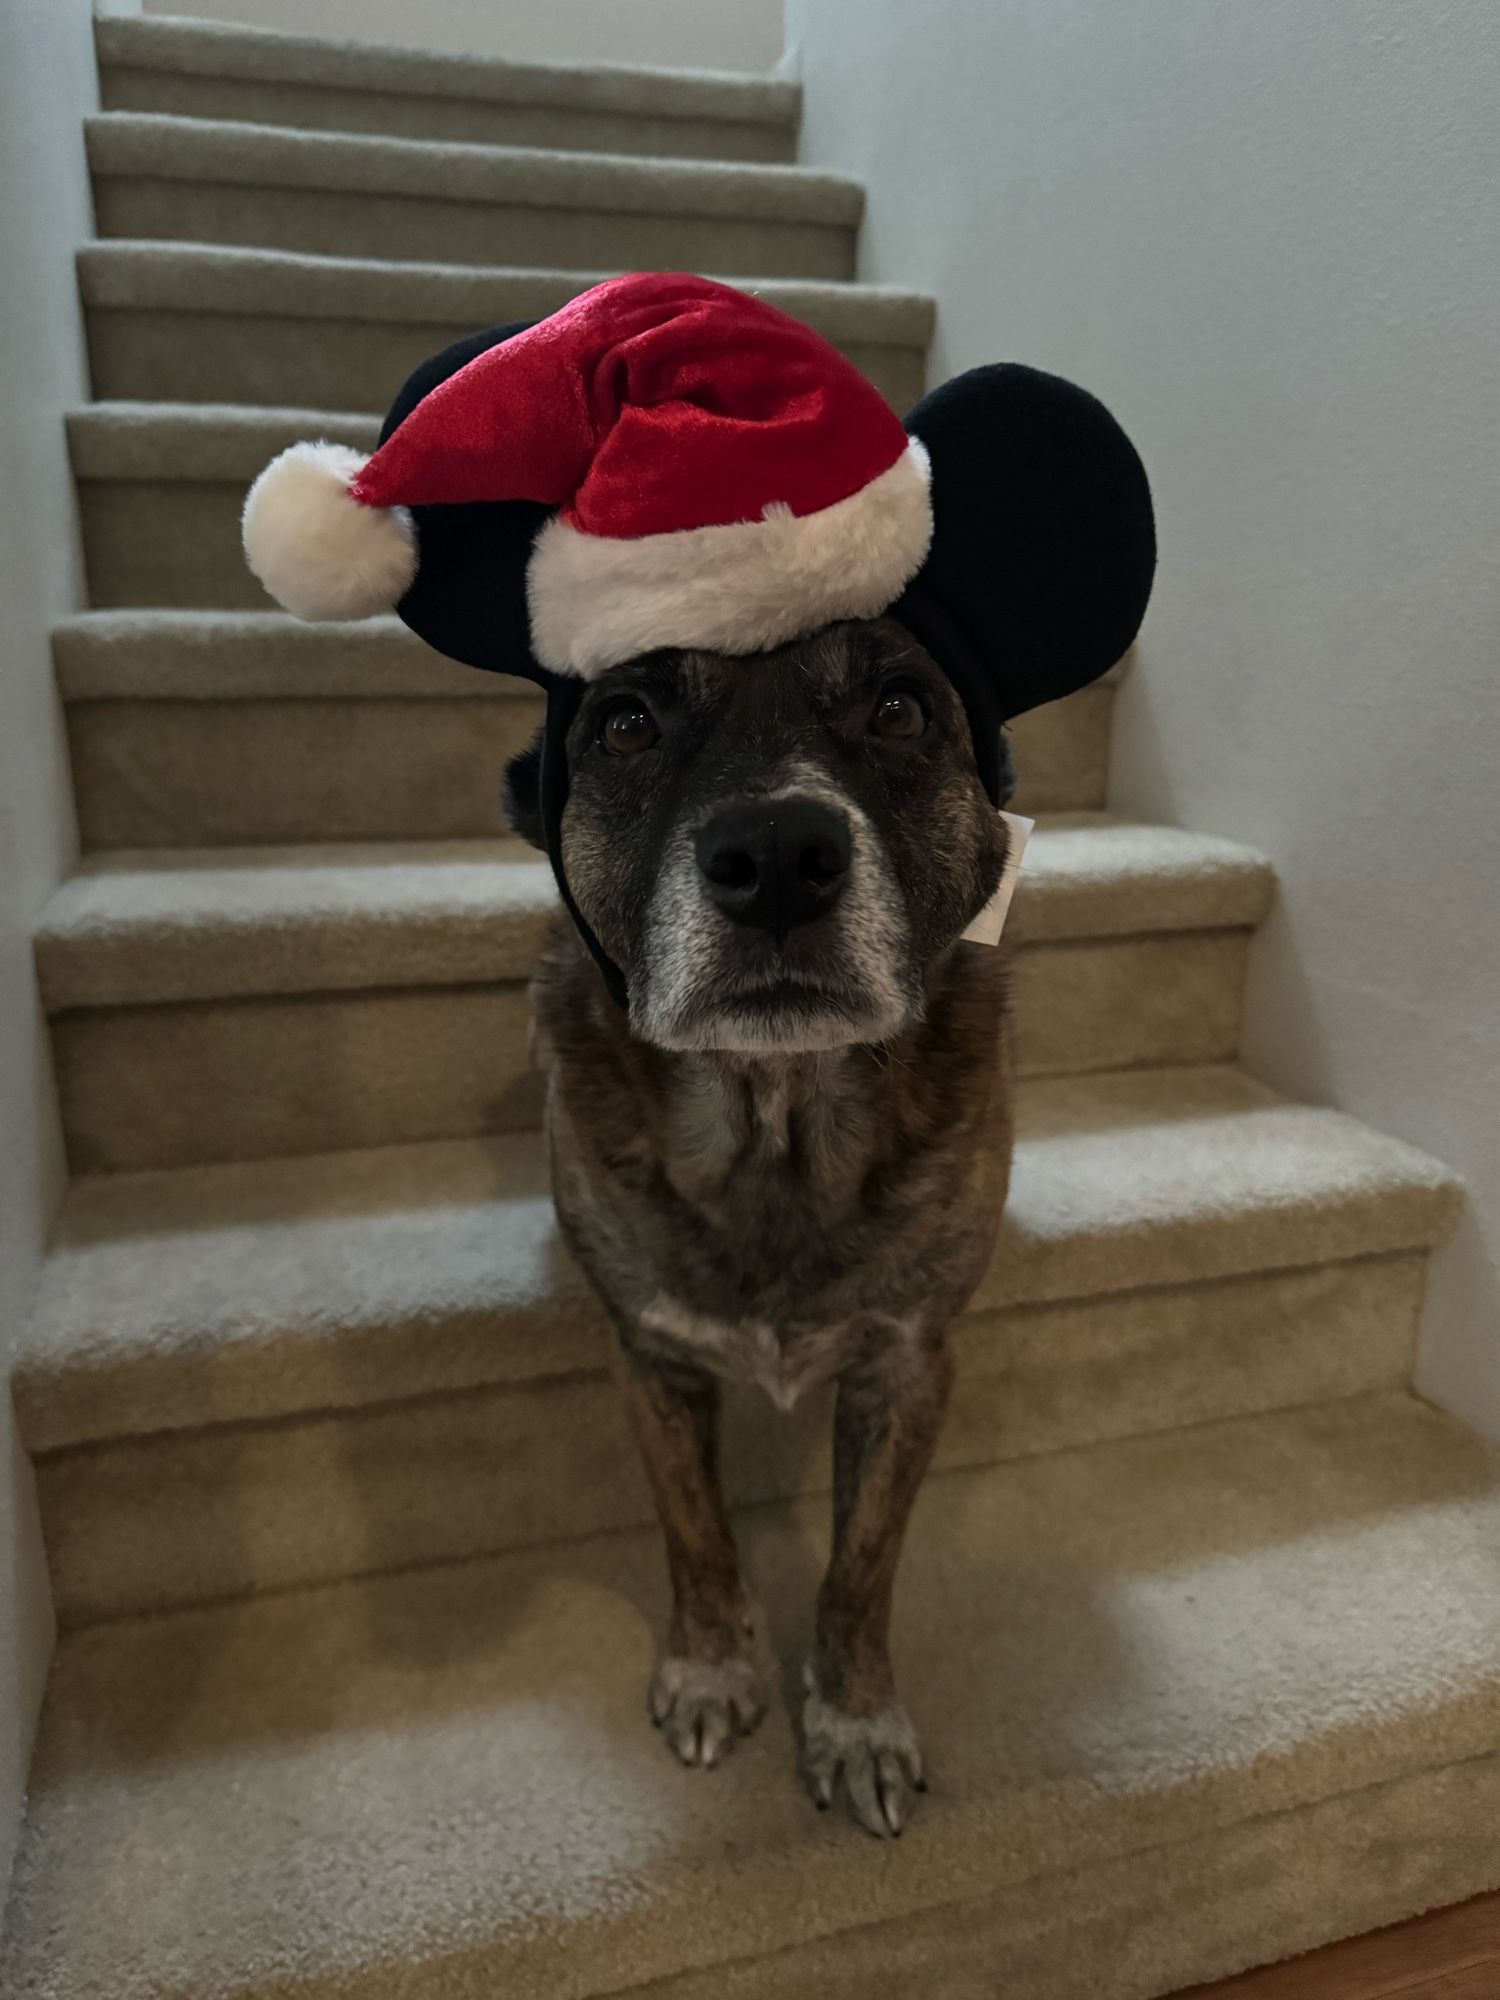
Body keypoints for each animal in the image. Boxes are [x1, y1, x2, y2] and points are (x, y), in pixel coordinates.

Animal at [508, 612, 1024, 1840]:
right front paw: (710, 1668)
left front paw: (855, 1718)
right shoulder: (649, 1357)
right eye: (626, 724)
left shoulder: (909, 1364)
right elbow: (695, 1531)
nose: (779, 855)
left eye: (901, 709)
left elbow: (861, 1566)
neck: (774, 1116)